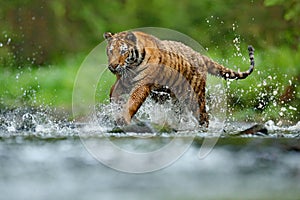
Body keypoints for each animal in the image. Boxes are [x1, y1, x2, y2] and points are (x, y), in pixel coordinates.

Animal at [103, 30, 255, 127]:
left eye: (123, 51)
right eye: (110, 51)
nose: (113, 66)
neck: (132, 67)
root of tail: (200, 55)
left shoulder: (142, 85)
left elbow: (132, 102)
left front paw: (123, 119)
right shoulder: (122, 82)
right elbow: (113, 94)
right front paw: (115, 110)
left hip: (194, 96)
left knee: (204, 117)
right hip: (174, 97)